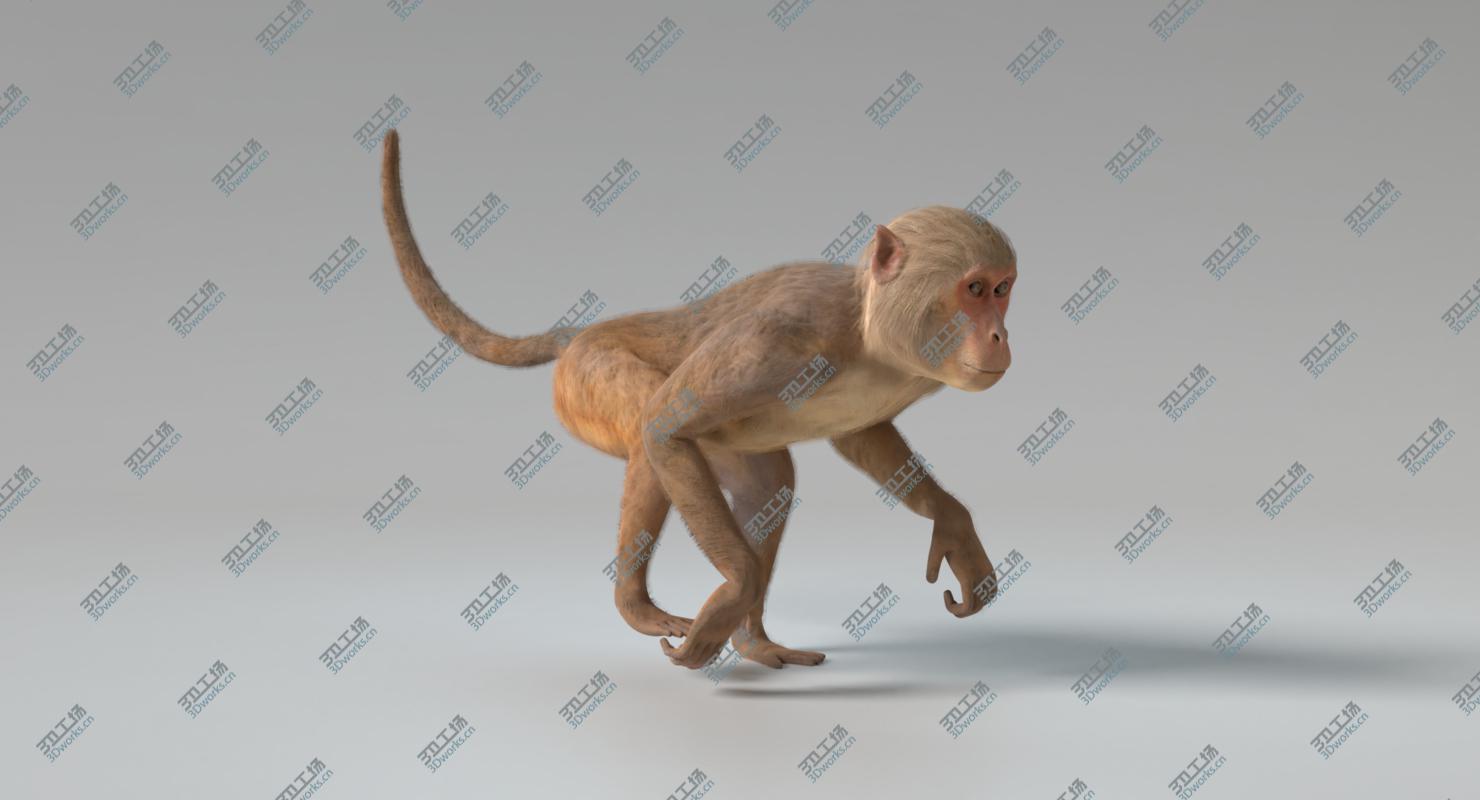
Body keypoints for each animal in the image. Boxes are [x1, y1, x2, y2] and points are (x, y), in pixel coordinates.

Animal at [381, 129, 1016, 670]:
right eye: (974, 289)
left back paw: (753, 640)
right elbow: (666, 426)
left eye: (1003, 289)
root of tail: (587, 332)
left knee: (769, 485)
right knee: (649, 424)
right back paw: (640, 604)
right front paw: (736, 587)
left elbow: (862, 437)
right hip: (586, 377)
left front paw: (953, 524)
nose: (999, 336)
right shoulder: (779, 338)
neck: (867, 331)